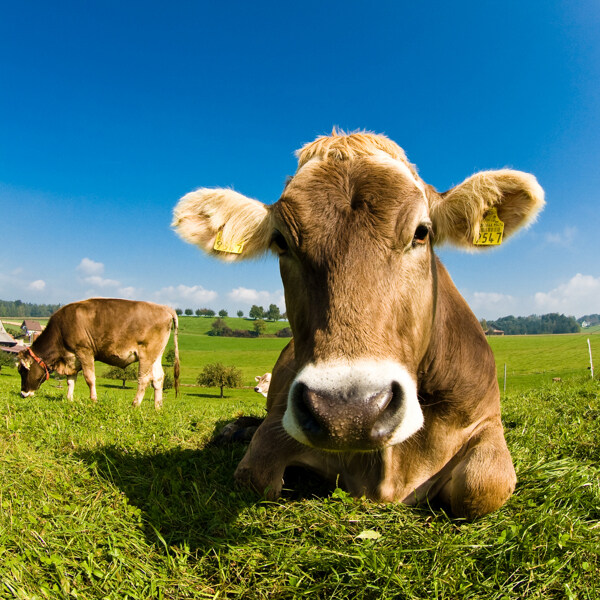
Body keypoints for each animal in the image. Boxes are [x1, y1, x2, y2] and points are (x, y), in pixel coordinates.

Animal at [17, 298, 179, 410]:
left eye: (23, 371)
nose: (23, 393)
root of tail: (164, 308)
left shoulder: (84, 351)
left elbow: (89, 378)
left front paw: (93, 400)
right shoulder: (72, 357)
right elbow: (70, 380)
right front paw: (69, 399)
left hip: (146, 355)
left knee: (144, 379)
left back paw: (135, 404)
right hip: (156, 355)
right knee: (158, 378)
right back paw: (157, 407)